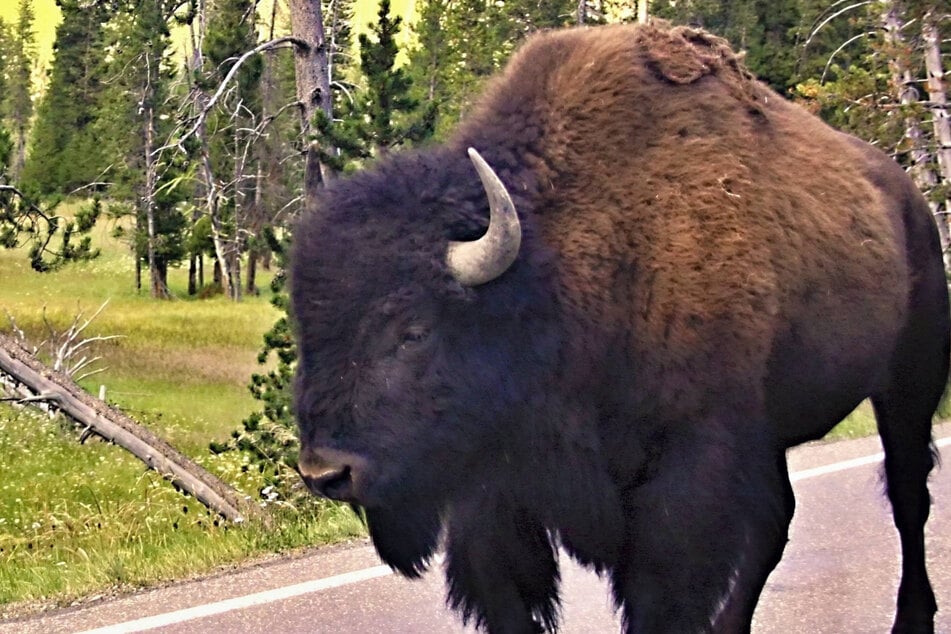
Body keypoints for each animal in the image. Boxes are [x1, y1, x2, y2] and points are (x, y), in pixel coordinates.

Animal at [291, 21, 949, 634]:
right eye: (306, 329)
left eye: (413, 330)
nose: (326, 472)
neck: (558, 269)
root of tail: (909, 200)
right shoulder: (495, 499)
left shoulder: (685, 475)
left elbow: (663, 597)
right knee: (777, 521)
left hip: (907, 386)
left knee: (907, 495)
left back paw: (912, 616)